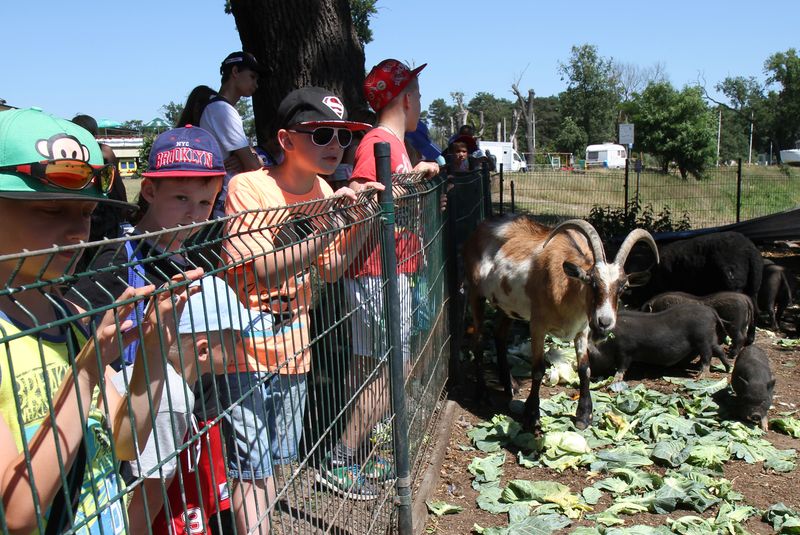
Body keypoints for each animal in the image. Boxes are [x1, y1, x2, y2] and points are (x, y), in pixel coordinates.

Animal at [462, 217, 656, 432]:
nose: (604, 322)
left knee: (500, 334)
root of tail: (480, 228)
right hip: (476, 293)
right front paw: (532, 416)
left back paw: (510, 385)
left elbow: (585, 369)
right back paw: (482, 394)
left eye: (623, 287)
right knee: (478, 340)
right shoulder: (537, 325)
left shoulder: (582, 329)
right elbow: (538, 369)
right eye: (592, 283)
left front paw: (584, 416)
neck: (566, 288)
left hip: (508, 306)